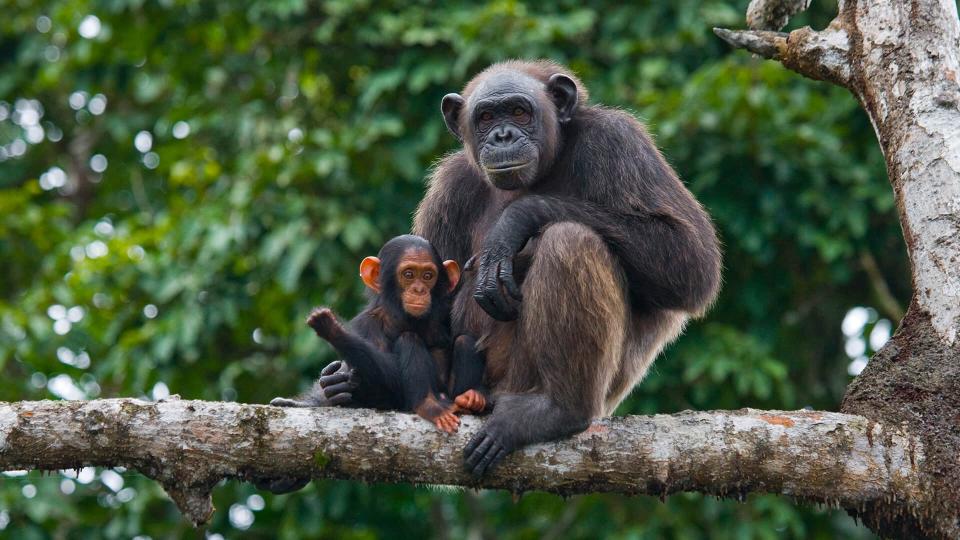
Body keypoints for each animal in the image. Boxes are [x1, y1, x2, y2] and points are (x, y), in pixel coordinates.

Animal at [274, 234, 492, 432]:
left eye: (428, 275)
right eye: (409, 274)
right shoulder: (366, 325)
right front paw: (335, 331)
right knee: (408, 339)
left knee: (464, 340)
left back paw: (471, 398)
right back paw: (430, 406)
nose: (419, 290)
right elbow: (386, 381)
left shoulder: (449, 310)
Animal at [322, 60, 720, 476]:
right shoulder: (449, 188)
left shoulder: (618, 142)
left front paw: (514, 222)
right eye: (485, 117)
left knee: (570, 240)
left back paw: (558, 410)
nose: (502, 135)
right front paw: (342, 381)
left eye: (518, 111)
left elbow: (690, 259)